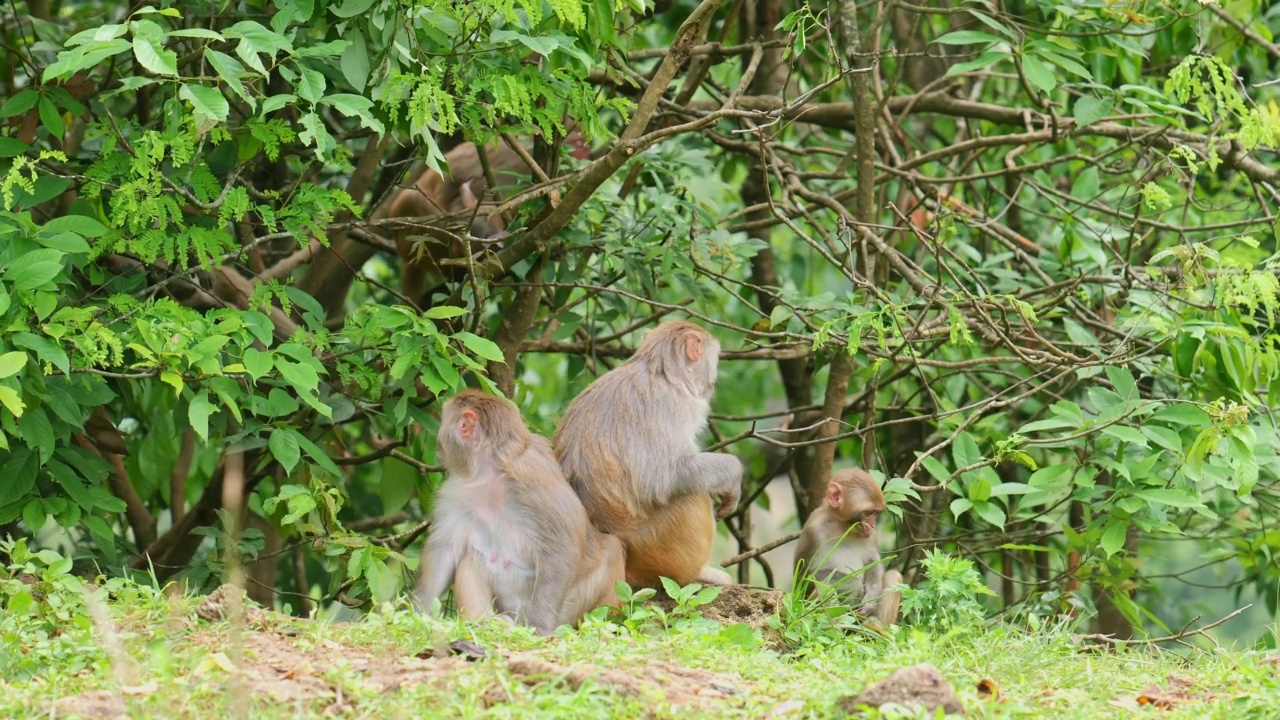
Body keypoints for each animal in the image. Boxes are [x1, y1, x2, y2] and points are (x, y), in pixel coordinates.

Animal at [414, 386, 624, 632]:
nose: (438, 443)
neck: (488, 472)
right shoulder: (456, 491)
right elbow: (444, 551)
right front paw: (416, 610)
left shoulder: (531, 474)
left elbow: (562, 545)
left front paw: (540, 625)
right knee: (473, 558)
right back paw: (487, 622)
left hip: (569, 607)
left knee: (612, 550)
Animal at [552, 319, 747, 589]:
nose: (713, 382)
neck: (663, 373)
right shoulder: (671, 404)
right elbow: (664, 476)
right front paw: (734, 475)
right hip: (655, 549)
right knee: (692, 494)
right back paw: (699, 573)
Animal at [788, 466, 901, 622]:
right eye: (868, 512)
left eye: (875, 513)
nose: (872, 525)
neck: (842, 526)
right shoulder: (812, 533)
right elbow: (803, 580)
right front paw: (854, 585)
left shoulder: (872, 536)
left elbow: (873, 561)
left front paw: (870, 599)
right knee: (823, 584)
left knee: (894, 575)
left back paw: (875, 624)